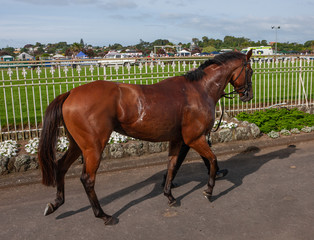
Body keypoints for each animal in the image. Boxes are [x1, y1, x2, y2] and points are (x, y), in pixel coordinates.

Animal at [38, 49, 254, 226]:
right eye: (250, 71)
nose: (249, 95)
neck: (199, 90)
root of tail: (70, 92)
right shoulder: (194, 138)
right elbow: (212, 160)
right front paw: (209, 189)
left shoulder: (178, 140)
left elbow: (172, 165)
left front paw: (169, 194)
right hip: (93, 148)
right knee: (87, 180)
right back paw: (104, 215)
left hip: (77, 145)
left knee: (61, 166)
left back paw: (56, 203)